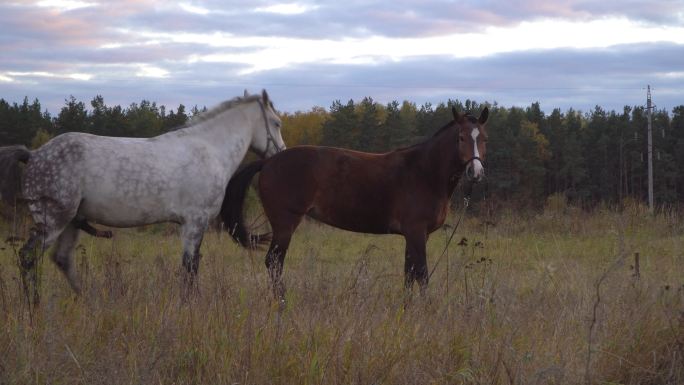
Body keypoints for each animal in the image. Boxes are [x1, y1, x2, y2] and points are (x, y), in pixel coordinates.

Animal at [223, 106, 486, 298]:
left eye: (484, 138)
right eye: (461, 137)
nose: (476, 172)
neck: (424, 172)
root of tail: (268, 162)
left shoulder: (417, 235)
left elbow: (409, 273)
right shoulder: (416, 231)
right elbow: (421, 273)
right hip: (285, 223)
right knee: (274, 262)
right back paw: (281, 302)